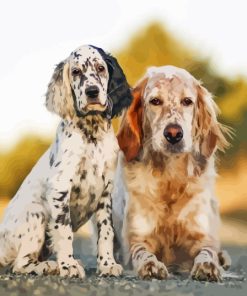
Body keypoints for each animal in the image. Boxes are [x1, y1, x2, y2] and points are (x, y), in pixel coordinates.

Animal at [0, 45, 132, 278]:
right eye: (76, 72)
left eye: (100, 68)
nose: (92, 92)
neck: (91, 134)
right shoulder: (60, 188)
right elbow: (64, 230)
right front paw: (68, 265)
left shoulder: (106, 191)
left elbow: (106, 231)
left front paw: (107, 264)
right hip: (36, 213)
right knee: (20, 264)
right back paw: (49, 266)